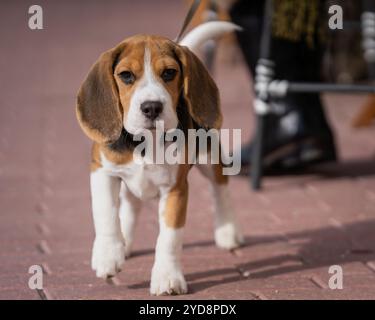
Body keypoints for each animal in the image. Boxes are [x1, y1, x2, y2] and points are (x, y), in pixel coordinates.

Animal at [75, 21, 244, 296]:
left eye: (169, 73)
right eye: (126, 76)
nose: (152, 107)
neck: (146, 141)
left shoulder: (176, 189)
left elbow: (169, 238)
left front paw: (167, 277)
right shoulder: (101, 171)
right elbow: (106, 213)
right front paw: (108, 255)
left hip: (209, 156)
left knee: (220, 188)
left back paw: (228, 230)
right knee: (130, 205)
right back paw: (125, 242)